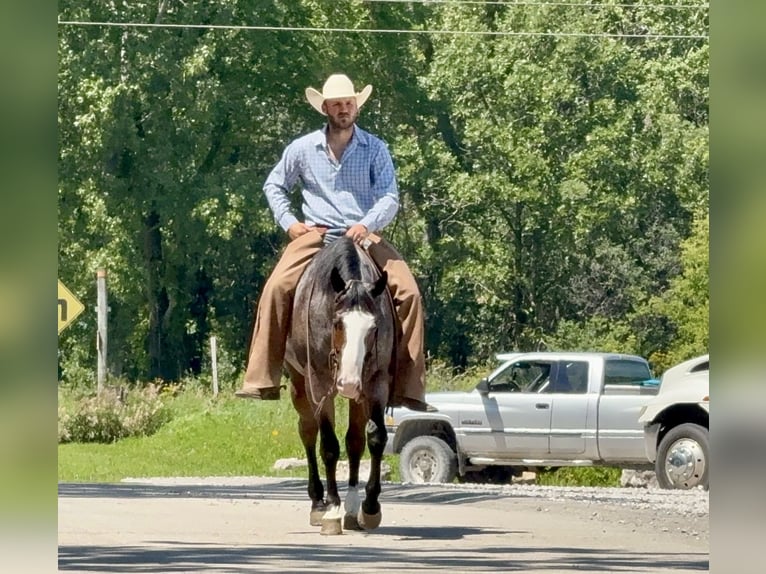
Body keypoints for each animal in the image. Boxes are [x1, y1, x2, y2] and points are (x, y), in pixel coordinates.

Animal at [284, 235, 396, 533]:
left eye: (373, 328)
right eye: (337, 323)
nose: (348, 383)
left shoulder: (376, 382)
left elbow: (375, 438)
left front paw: (369, 506)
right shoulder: (319, 383)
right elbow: (329, 447)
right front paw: (332, 510)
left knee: (355, 440)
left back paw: (353, 506)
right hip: (300, 385)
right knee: (308, 432)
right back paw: (318, 503)